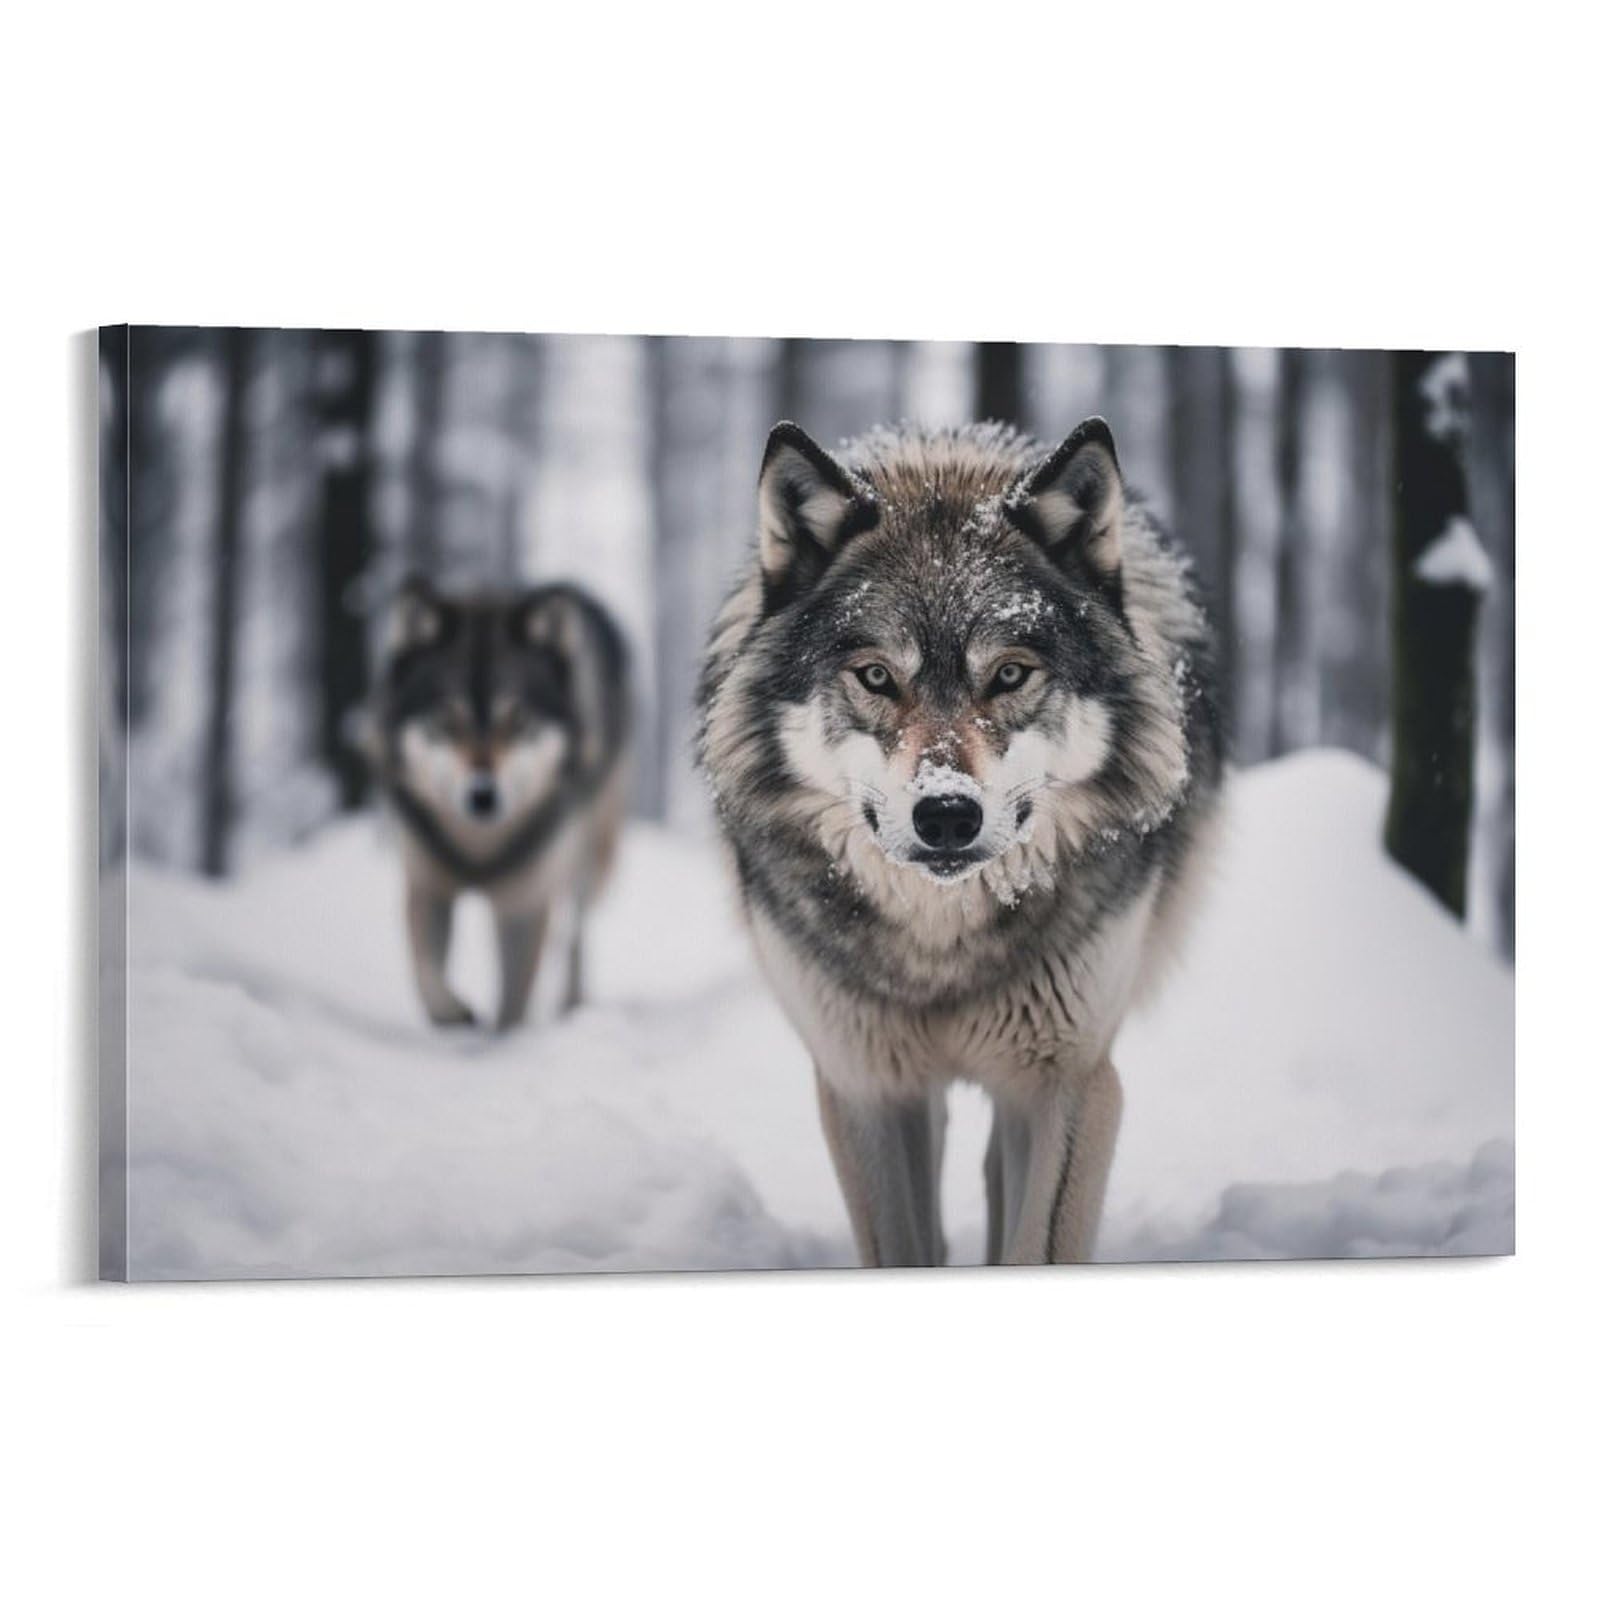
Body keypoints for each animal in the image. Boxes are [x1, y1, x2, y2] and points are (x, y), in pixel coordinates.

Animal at [371, 578, 630, 1030]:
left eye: (518, 720)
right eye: (447, 720)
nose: (482, 794)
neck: (479, 854)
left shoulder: (524, 902)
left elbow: (513, 1002)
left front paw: (502, 1040)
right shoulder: (427, 884)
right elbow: (426, 972)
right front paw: (453, 1014)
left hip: (587, 859)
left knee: (576, 934)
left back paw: (572, 1003)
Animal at [699, 418, 1224, 1266]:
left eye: (1008, 675)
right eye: (877, 677)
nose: (946, 814)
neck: (939, 947)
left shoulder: (1074, 1082)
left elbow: (1035, 1246)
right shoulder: (864, 1086)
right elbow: (901, 1245)